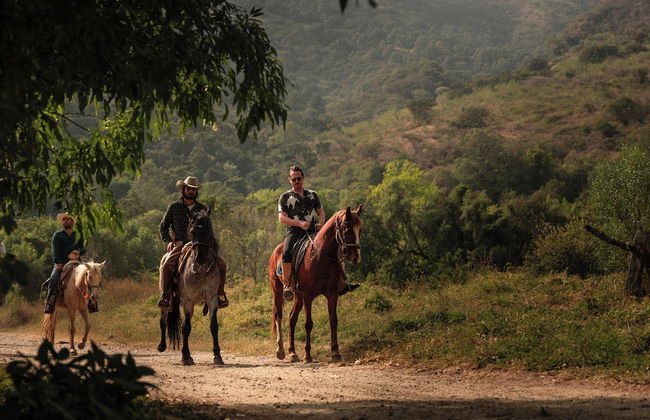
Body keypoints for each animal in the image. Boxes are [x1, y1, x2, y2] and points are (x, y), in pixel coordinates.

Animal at [269, 206, 363, 363]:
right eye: (346, 227)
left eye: (360, 229)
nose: (356, 258)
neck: (320, 258)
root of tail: (276, 250)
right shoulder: (308, 296)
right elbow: (308, 324)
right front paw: (308, 355)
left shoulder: (332, 294)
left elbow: (333, 321)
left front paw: (335, 353)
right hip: (278, 290)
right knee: (279, 315)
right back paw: (280, 350)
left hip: (298, 296)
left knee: (292, 319)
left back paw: (292, 352)